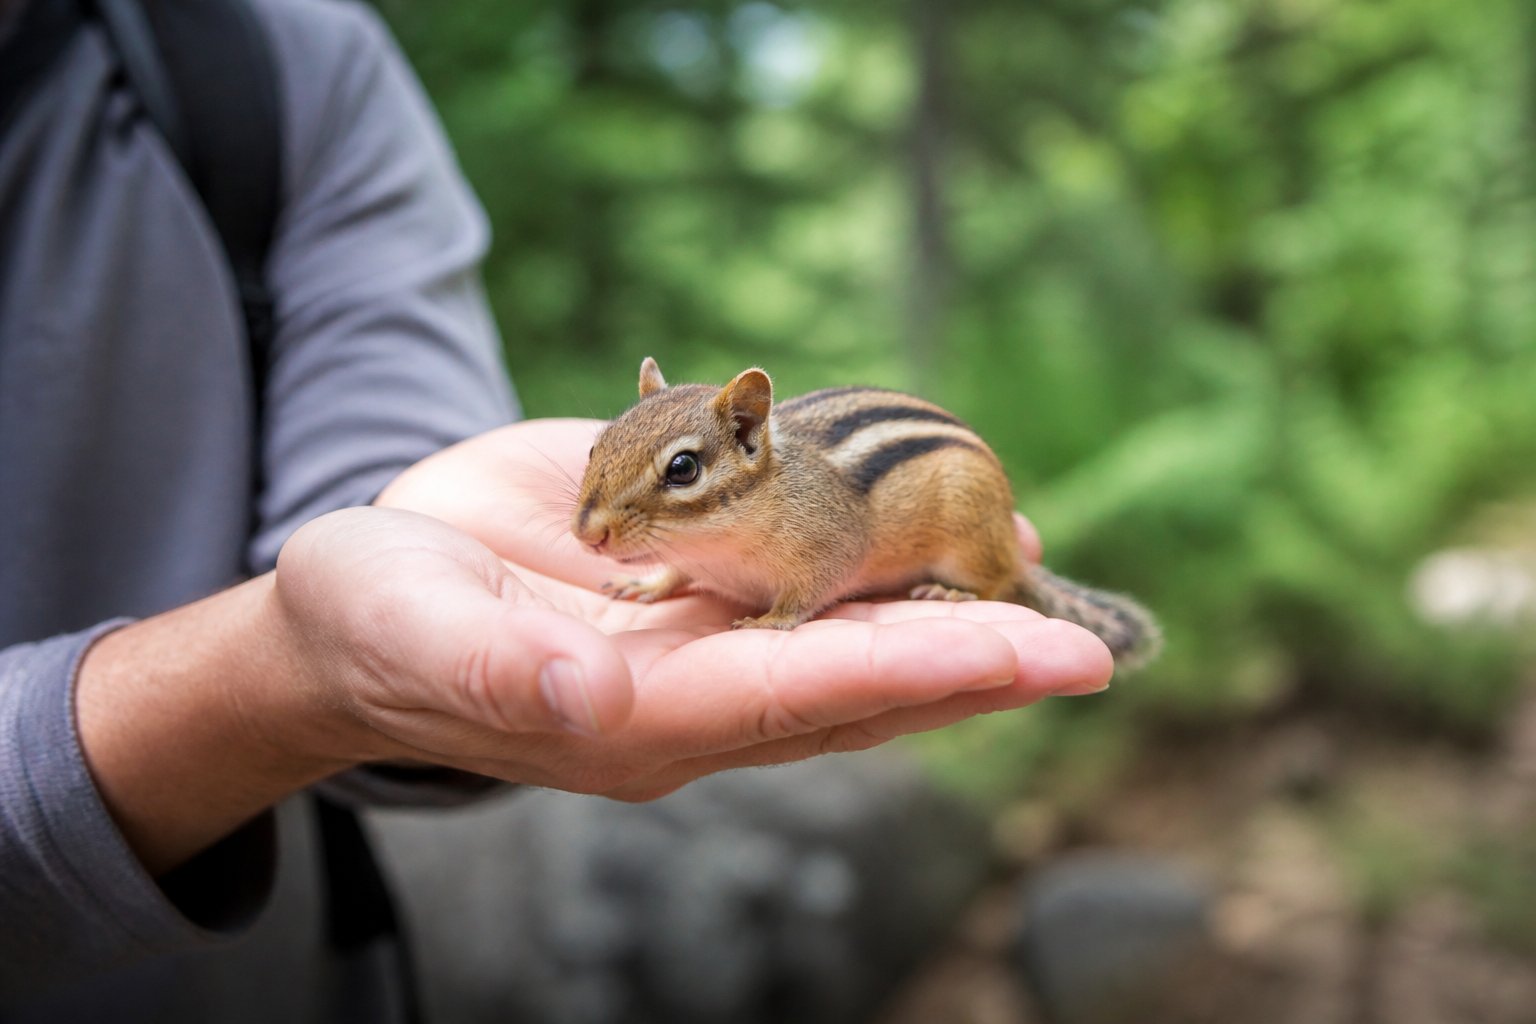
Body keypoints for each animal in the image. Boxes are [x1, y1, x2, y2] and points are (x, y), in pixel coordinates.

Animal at [571, 357, 1161, 669]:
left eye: (683, 468)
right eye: (596, 446)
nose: (588, 534)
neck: (714, 546)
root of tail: (1012, 546)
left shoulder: (831, 546)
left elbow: (808, 592)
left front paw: (768, 619)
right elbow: (673, 571)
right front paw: (647, 585)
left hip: (970, 538)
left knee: (996, 581)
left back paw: (951, 592)